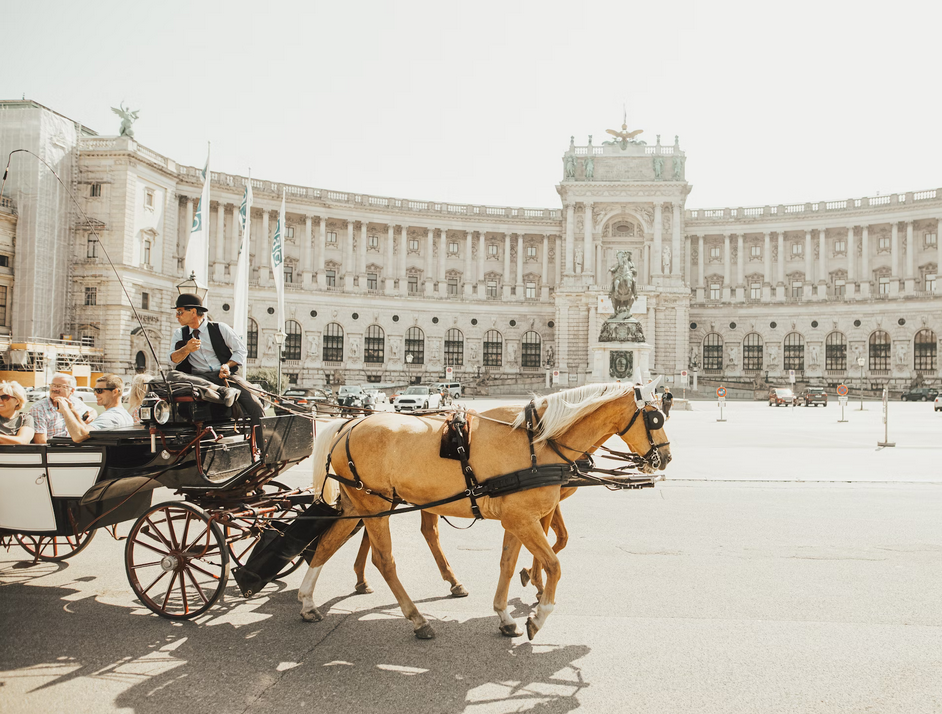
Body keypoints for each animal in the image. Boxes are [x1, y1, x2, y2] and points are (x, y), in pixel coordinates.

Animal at [298, 384, 668, 640]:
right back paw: (417, 619)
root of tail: (348, 424)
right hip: (375, 504)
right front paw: (539, 613)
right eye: (656, 418)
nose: (665, 458)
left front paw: (506, 615)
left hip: (362, 504)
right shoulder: (525, 518)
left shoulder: (517, 519)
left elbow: (508, 564)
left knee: (328, 544)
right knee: (384, 560)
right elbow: (554, 563)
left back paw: (308, 602)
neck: (538, 443)